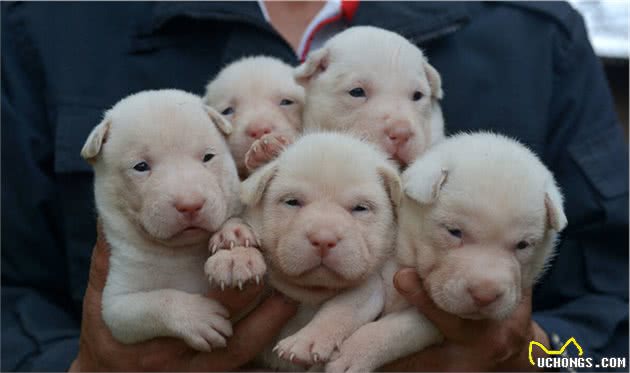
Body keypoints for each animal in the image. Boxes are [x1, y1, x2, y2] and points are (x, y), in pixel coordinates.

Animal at [81, 88, 242, 350]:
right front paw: (198, 318)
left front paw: (234, 244)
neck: (179, 252)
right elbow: (156, 302)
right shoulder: (117, 305)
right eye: (141, 166)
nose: (190, 204)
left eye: (208, 157)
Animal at [207, 132, 404, 370]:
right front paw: (235, 256)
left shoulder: (369, 287)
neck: (310, 292)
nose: (324, 239)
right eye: (292, 202)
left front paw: (307, 341)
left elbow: (341, 309)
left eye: (360, 208)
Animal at [328, 132, 572, 370]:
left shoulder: (438, 322)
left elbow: (398, 330)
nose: (485, 295)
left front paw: (356, 352)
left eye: (523, 245)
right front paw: (327, 328)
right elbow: (358, 295)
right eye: (454, 232)